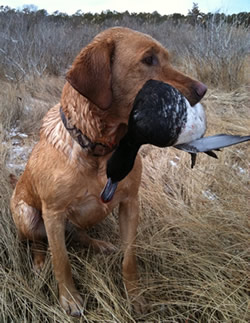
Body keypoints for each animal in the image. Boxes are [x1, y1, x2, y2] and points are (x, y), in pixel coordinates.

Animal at [10, 27, 207, 316]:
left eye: (167, 59)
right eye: (148, 59)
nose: (203, 90)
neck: (100, 149)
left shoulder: (130, 203)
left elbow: (129, 259)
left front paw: (135, 297)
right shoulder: (53, 213)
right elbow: (61, 261)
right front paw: (70, 299)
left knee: (80, 235)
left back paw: (100, 245)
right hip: (27, 214)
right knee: (38, 242)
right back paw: (38, 264)